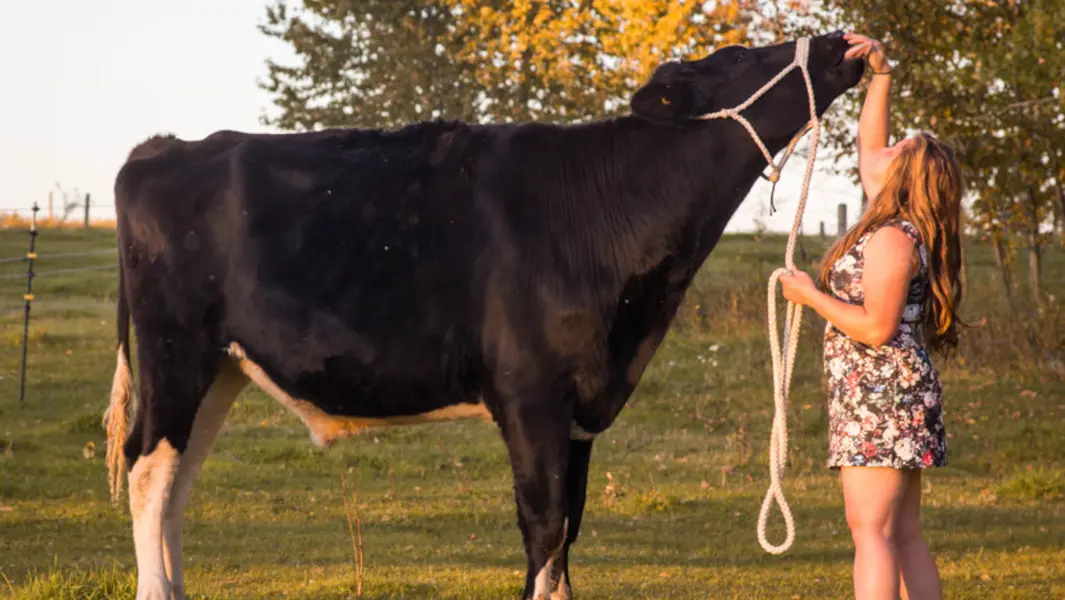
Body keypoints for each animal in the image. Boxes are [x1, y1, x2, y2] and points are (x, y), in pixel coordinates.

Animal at [103, 31, 860, 600]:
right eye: (740, 55)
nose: (835, 43)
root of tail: (165, 147)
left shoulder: (580, 406)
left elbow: (567, 529)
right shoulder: (530, 393)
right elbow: (543, 525)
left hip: (221, 368)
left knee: (177, 480)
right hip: (175, 350)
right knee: (148, 471)